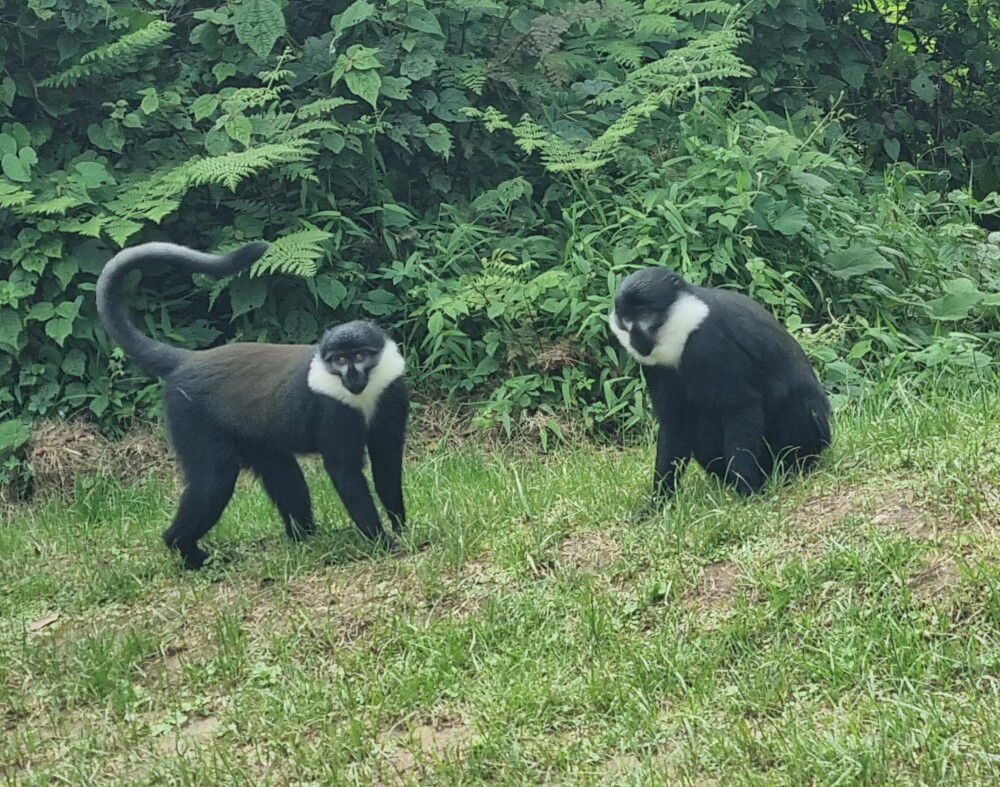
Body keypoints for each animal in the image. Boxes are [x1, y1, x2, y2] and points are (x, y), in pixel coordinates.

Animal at [96, 241, 409, 569]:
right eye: (339, 359)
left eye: (359, 356)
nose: (351, 375)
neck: (362, 394)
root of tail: (189, 360)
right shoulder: (333, 411)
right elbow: (344, 470)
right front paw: (381, 542)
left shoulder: (391, 396)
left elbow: (387, 461)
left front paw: (401, 527)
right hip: (191, 419)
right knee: (214, 480)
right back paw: (188, 551)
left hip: (254, 438)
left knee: (281, 470)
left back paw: (303, 536)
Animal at [609, 267, 831, 502]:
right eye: (626, 318)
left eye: (645, 314)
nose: (635, 338)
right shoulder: (657, 367)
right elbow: (675, 422)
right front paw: (659, 501)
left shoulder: (710, 344)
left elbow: (741, 407)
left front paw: (748, 490)